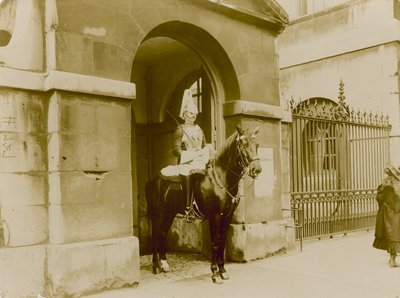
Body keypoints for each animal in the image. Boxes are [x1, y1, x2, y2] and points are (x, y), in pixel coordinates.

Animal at [145, 124, 262, 282]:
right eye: (243, 144)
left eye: (257, 144)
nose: (257, 169)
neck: (222, 177)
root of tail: (153, 179)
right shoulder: (215, 216)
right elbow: (215, 244)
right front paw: (214, 273)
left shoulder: (227, 216)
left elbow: (222, 243)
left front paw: (223, 270)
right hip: (157, 214)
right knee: (156, 236)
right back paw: (156, 266)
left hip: (169, 214)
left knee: (163, 234)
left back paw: (164, 265)